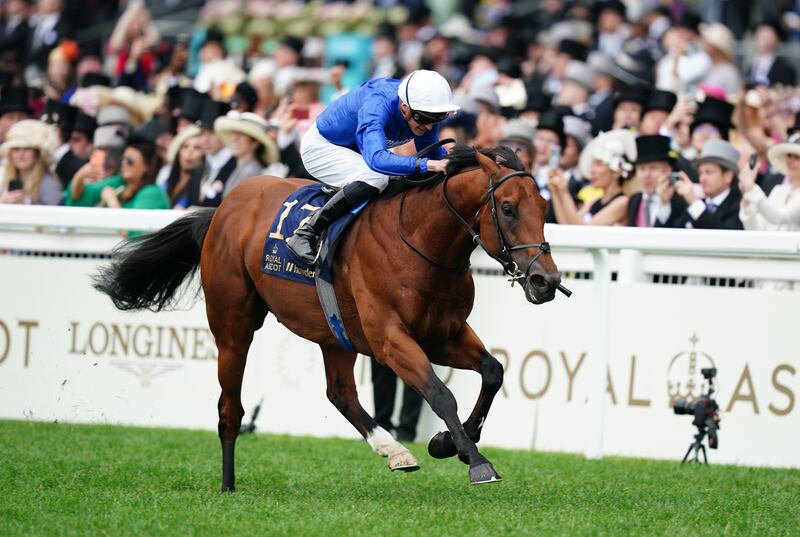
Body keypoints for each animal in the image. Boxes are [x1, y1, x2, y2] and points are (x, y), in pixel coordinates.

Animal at [95, 143, 564, 490]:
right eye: (508, 208)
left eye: (544, 207)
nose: (545, 280)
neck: (420, 242)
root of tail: (226, 206)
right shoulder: (390, 338)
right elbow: (440, 392)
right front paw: (476, 460)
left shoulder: (442, 335)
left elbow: (493, 371)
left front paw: (447, 441)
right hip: (233, 326)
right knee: (231, 408)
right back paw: (228, 485)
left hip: (333, 332)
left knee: (340, 393)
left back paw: (396, 451)